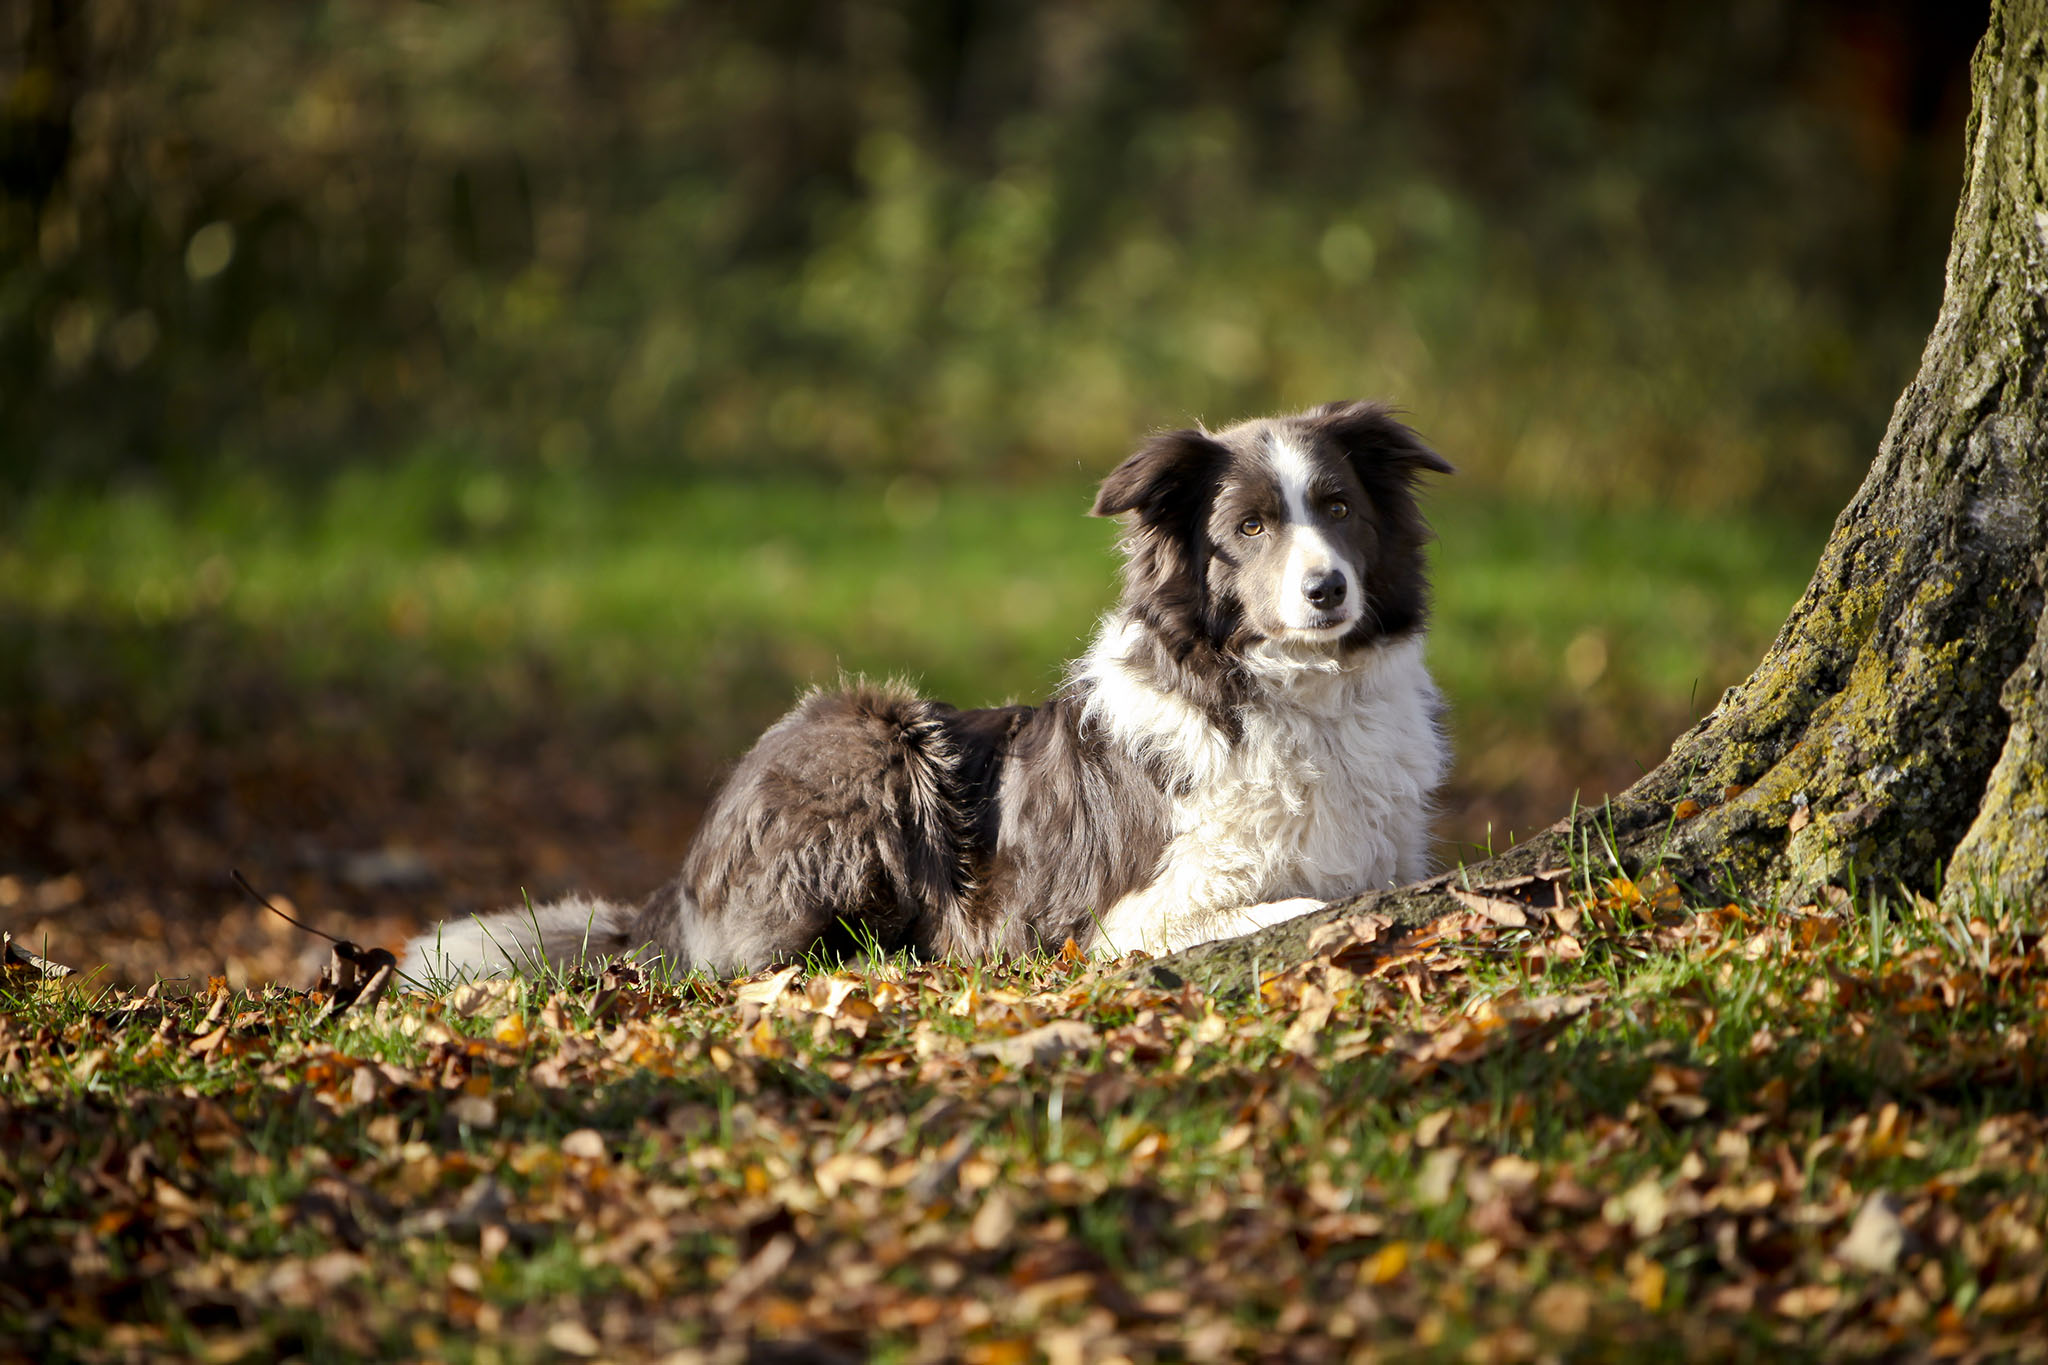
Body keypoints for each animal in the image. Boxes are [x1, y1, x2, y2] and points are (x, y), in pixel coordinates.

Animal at [399, 401, 1449, 986]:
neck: (1294, 694)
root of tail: (680, 877)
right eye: (1250, 527)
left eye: (1340, 508)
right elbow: (1303, 904)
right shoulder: (1128, 916)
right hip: (871, 730)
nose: (1327, 590)